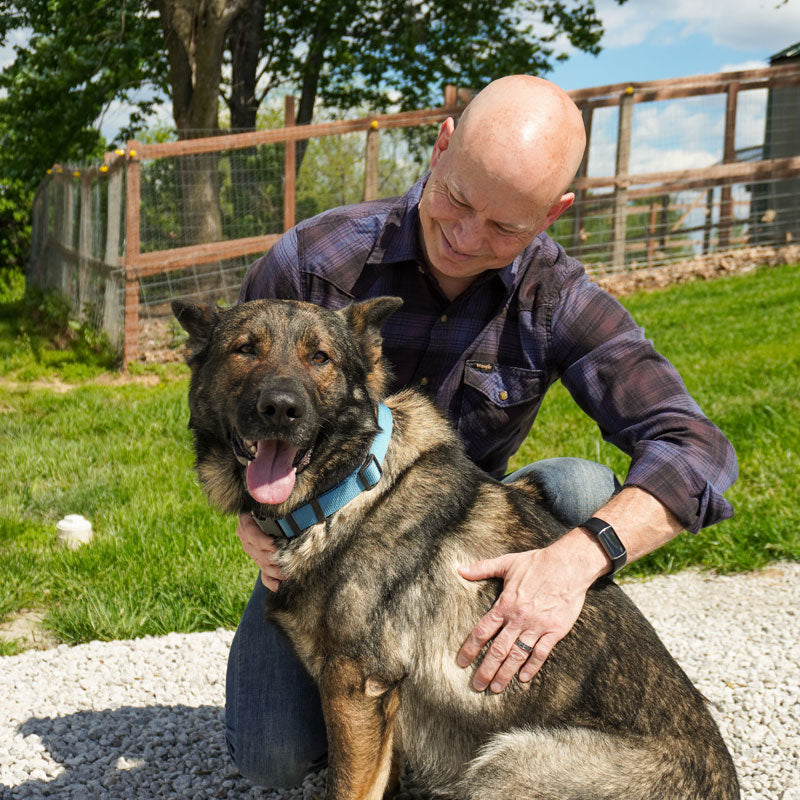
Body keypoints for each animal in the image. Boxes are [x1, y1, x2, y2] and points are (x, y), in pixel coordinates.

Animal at [172, 296, 740, 800]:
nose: (279, 409)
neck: (350, 487)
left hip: (507, 760)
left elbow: (350, 787)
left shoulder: (354, 688)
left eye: (320, 358)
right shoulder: (379, 704)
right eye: (245, 349)